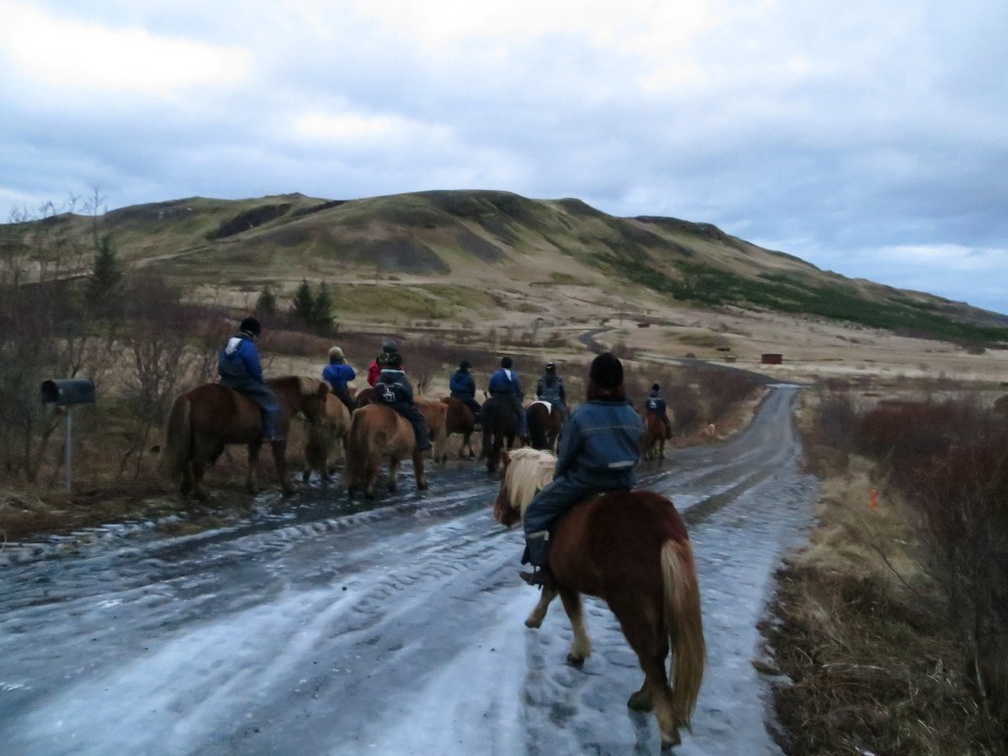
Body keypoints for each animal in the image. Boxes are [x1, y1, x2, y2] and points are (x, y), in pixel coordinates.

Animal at [159, 374, 328, 504]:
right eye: (322, 399)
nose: (321, 421)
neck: (283, 398)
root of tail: (189, 396)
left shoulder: (255, 441)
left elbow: (253, 461)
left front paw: (252, 487)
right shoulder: (279, 440)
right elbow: (281, 462)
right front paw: (289, 487)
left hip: (194, 440)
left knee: (185, 460)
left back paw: (186, 488)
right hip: (206, 442)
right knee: (197, 464)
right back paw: (201, 494)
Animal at [491, 449, 705, 753]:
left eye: (502, 476)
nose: (497, 513)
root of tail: (664, 530)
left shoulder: (563, 579)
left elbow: (570, 611)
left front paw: (577, 651)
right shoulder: (560, 577)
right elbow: (550, 596)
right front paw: (535, 619)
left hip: (631, 607)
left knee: (650, 653)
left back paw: (665, 728)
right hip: (657, 604)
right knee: (659, 650)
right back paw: (644, 697)